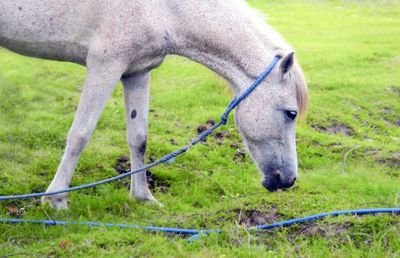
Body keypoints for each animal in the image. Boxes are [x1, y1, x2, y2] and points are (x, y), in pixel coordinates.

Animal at [0, 0, 308, 210]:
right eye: (291, 113)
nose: (288, 180)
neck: (165, 9)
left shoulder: (136, 72)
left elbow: (138, 139)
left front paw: (143, 197)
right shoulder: (105, 65)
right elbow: (79, 135)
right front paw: (56, 200)